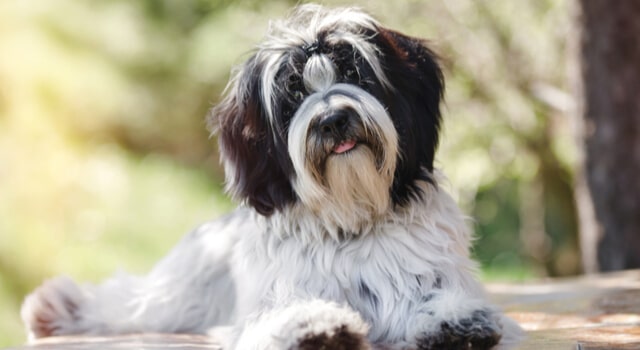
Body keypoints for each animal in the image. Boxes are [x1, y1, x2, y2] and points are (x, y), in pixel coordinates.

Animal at [22, 4, 520, 348]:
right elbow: (281, 314)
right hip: (179, 289)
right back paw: (57, 306)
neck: (351, 221)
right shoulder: (271, 299)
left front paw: (454, 318)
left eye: (357, 74)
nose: (334, 120)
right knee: (133, 302)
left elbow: (437, 297)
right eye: (292, 95)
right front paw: (314, 324)